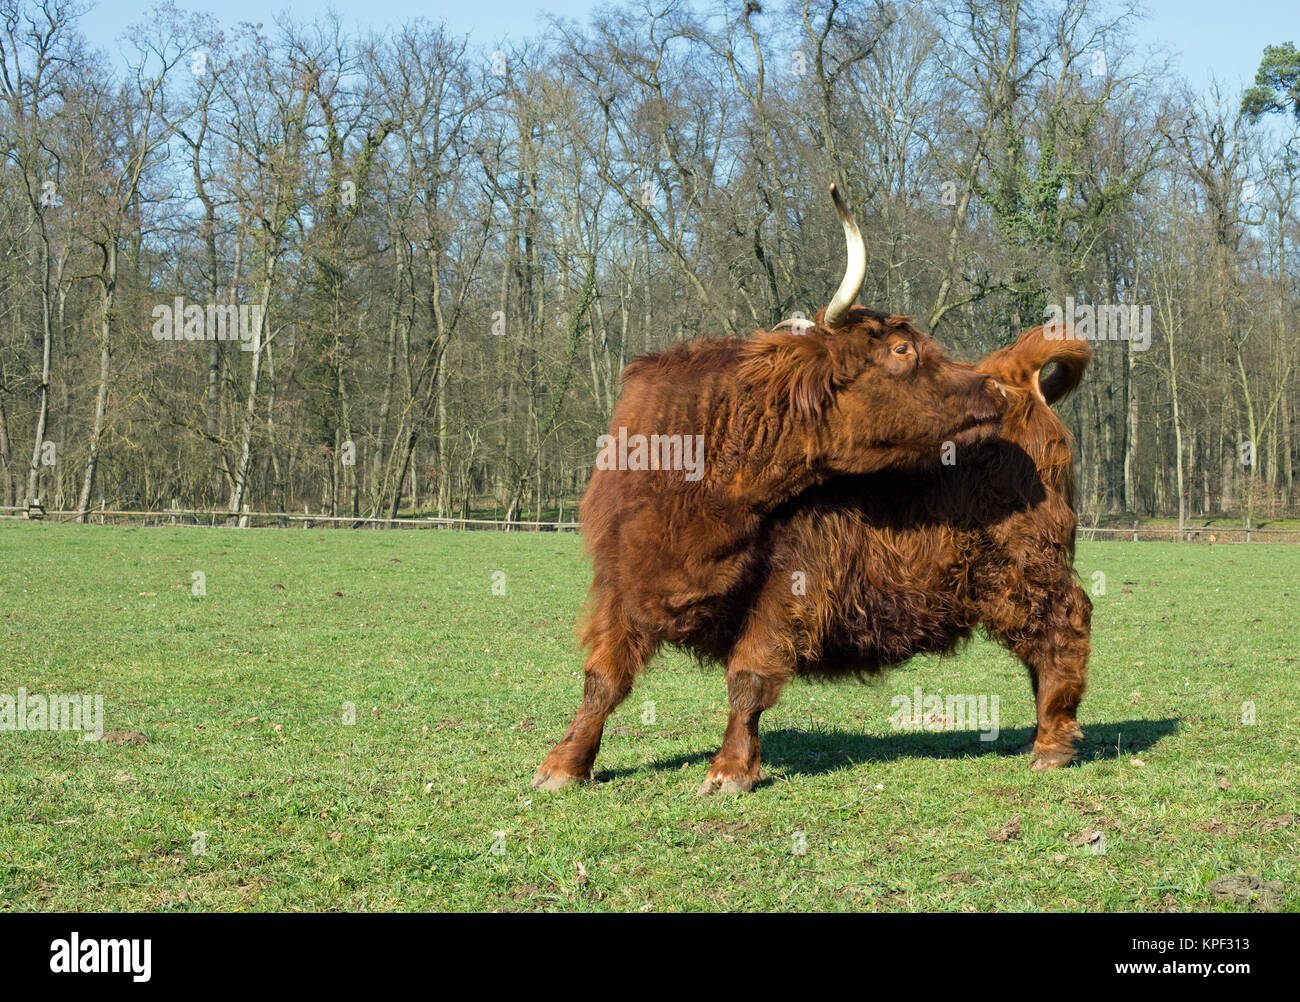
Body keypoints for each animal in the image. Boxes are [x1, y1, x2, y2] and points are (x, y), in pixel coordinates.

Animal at [531, 187, 1032, 794]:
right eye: (901, 351)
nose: (995, 390)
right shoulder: (619, 579)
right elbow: (602, 678)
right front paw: (564, 763)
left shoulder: (790, 578)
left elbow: (748, 675)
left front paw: (729, 770)